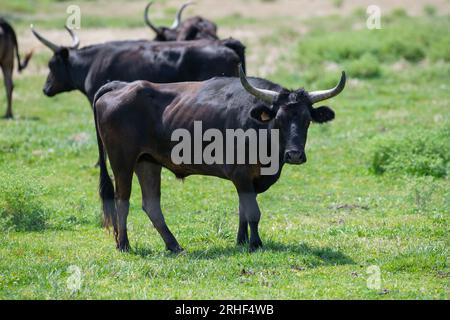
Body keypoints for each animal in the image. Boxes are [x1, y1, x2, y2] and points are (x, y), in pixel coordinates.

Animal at [93, 66, 346, 254]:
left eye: (307, 120)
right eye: (279, 119)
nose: (294, 155)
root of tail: (121, 86)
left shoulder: (248, 180)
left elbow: (243, 209)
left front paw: (242, 241)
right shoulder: (241, 174)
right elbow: (253, 211)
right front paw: (255, 244)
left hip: (147, 162)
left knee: (151, 205)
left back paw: (174, 246)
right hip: (122, 161)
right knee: (122, 201)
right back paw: (124, 245)